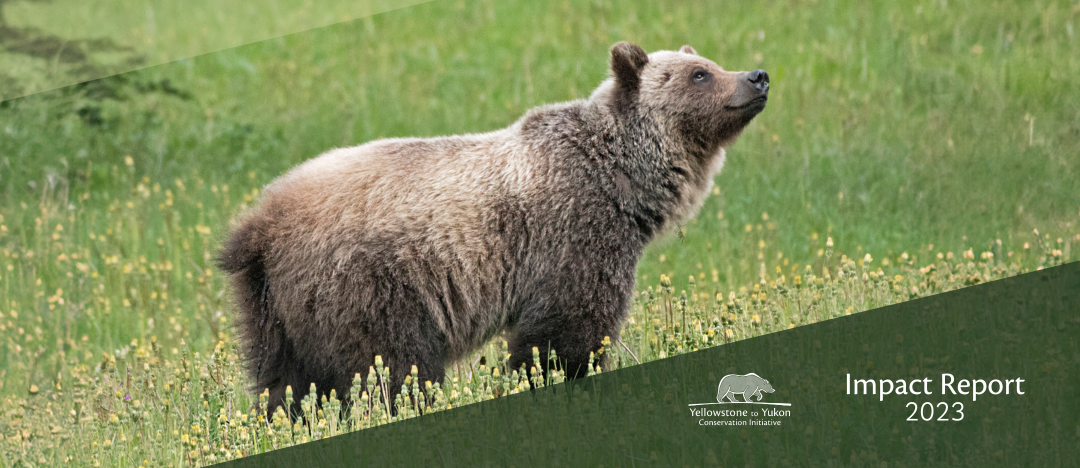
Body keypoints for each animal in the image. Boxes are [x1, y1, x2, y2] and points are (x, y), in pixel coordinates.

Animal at [216, 41, 770, 417]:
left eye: (711, 63)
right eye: (700, 74)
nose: (758, 76)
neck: (623, 182)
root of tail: (259, 225)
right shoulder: (575, 233)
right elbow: (566, 330)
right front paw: (561, 379)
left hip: (275, 310)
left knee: (285, 383)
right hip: (368, 287)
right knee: (391, 367)